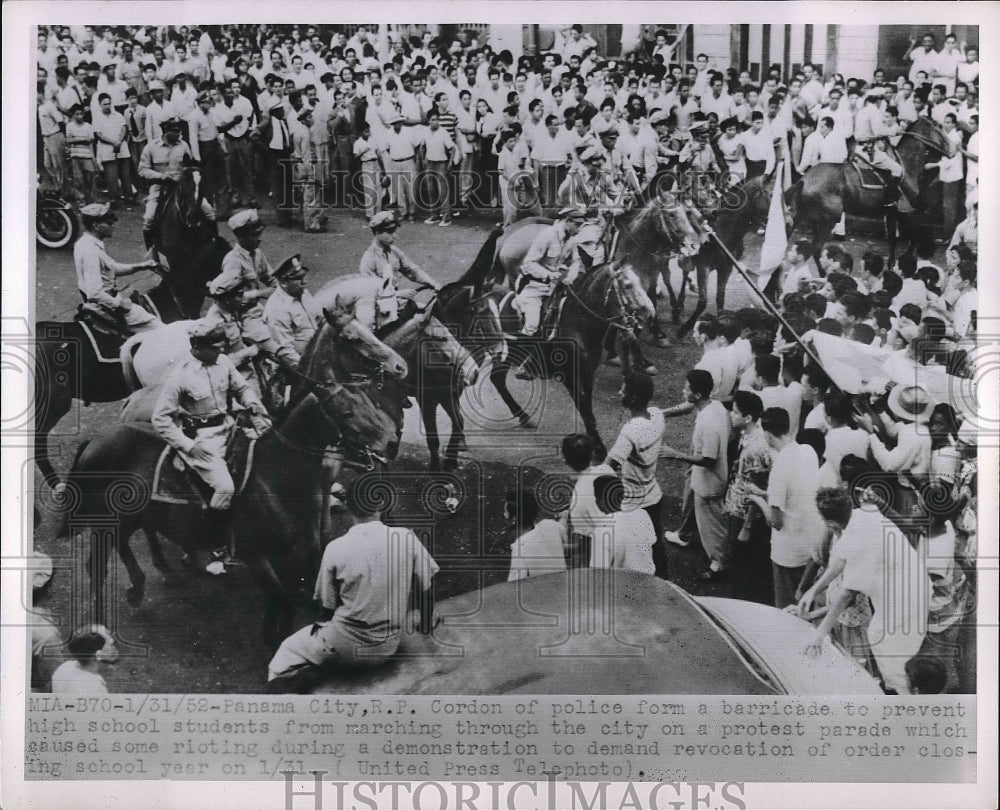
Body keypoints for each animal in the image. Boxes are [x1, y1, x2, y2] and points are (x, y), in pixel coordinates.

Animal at [61, 300, 406, 648]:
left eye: (368, 402)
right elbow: (292, 578)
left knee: (133, 535)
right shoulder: (263, 548)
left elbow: (313, 544)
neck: (275, 474)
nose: (399, 367)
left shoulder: (315, 495)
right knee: (109, 556)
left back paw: (159, 575)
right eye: (353, 339)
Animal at [788, 115, 952, 266]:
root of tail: (804, 179)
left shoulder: (892, 213)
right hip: (828, 218)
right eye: (940, 127)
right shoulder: (905, 211)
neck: (905, 165)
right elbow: (913, 235)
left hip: (802, 213)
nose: (951, 149)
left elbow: (894, 240)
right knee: (816, 247)